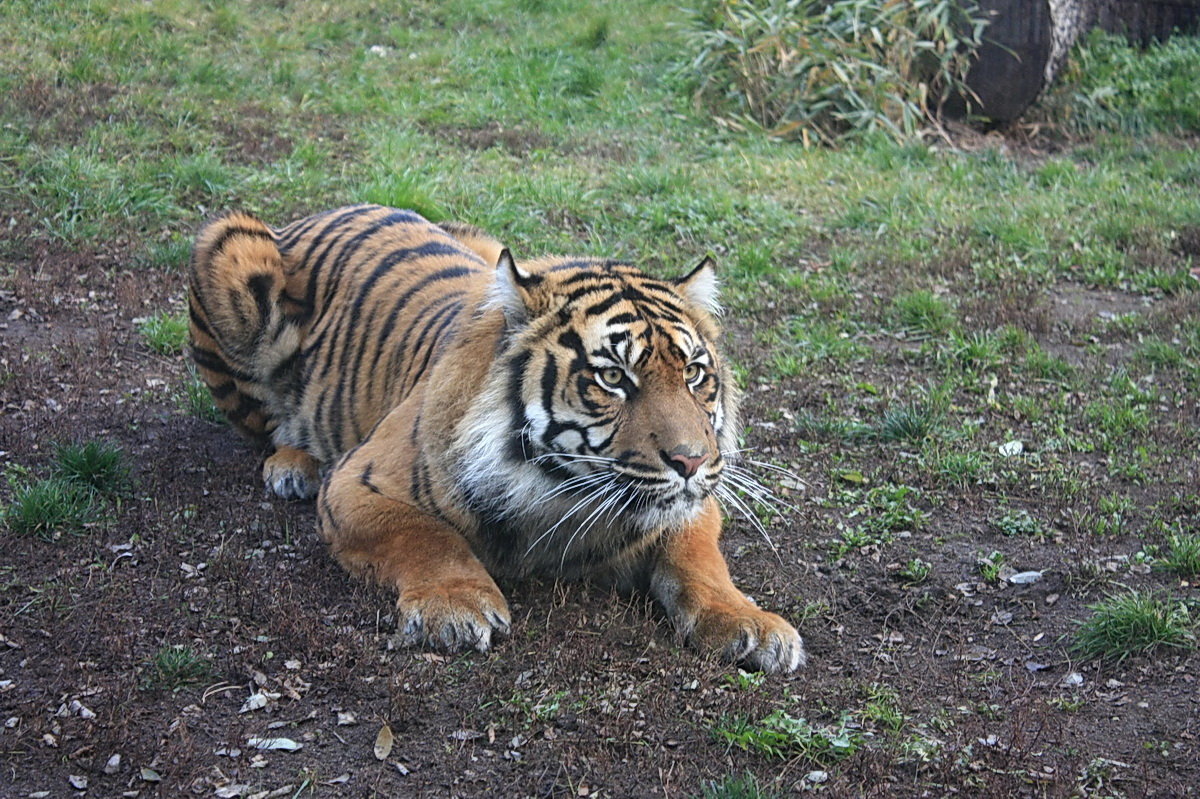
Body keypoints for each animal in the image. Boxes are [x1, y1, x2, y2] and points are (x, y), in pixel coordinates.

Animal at [187, 203, 806, 671]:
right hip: (230, 248)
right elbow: (426, 535)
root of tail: (332, 209)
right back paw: (291, 464)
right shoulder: (357, 484)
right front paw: (458, 607)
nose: (692, 461)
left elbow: (702, 561)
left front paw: (751, 622)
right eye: (612, 378)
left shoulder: (694, 506)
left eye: (695, 374)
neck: (563, 499)